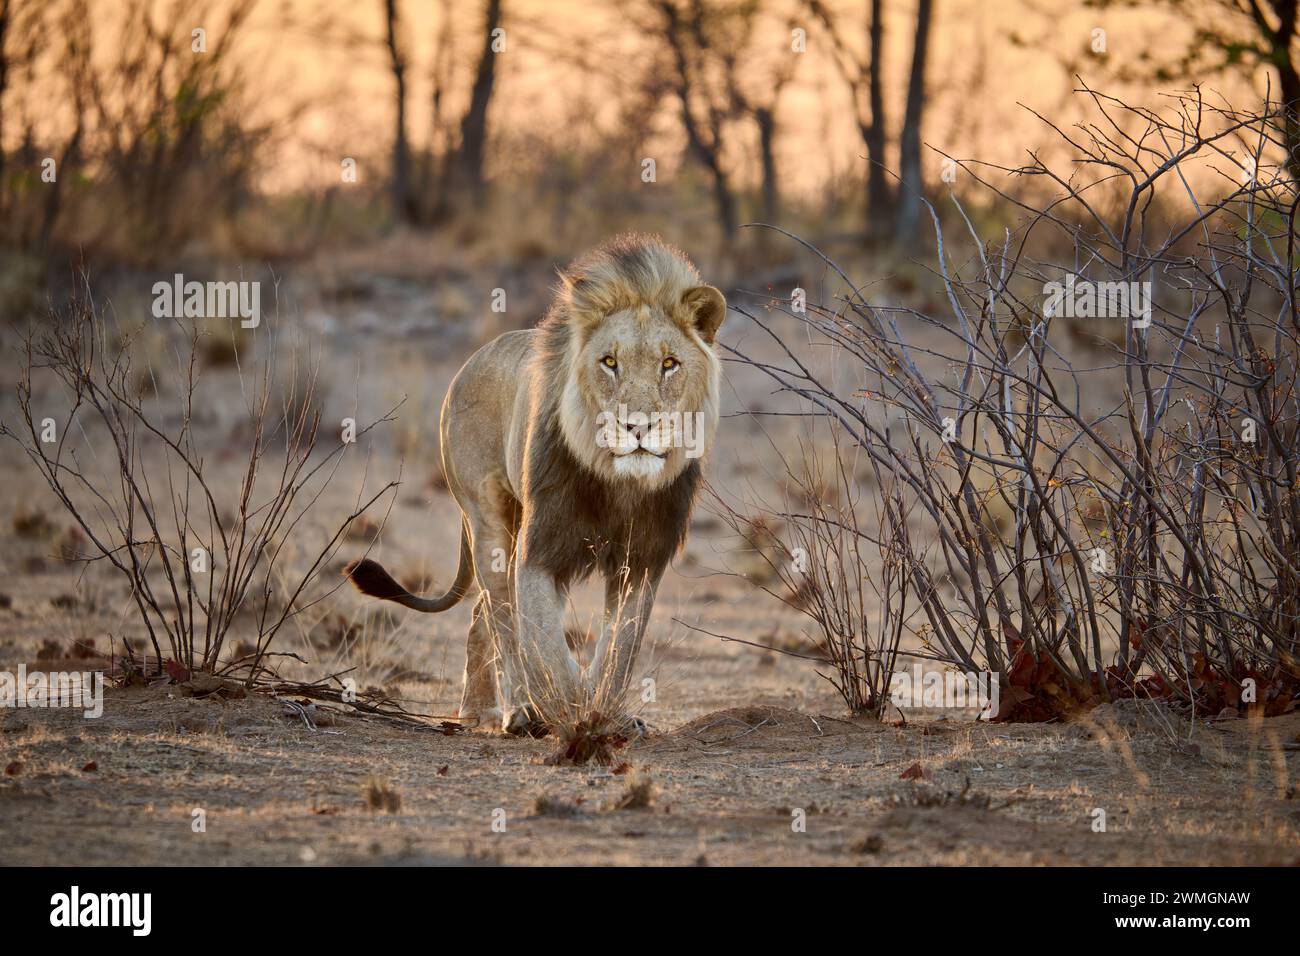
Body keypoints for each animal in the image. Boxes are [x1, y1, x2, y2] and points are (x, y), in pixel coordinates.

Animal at [345, 235, 728, 738]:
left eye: (670, 364)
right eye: (610, 363)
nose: (638, 427)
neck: (619, 482)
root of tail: (475, 357)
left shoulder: (643, 560)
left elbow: (619, 650)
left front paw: (607, 711)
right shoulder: (541, 549)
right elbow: (545, 644)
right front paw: (566, 706)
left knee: (481, 616)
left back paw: (479, 709)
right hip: (487, 517)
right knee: (500, 616)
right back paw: (517, 711)